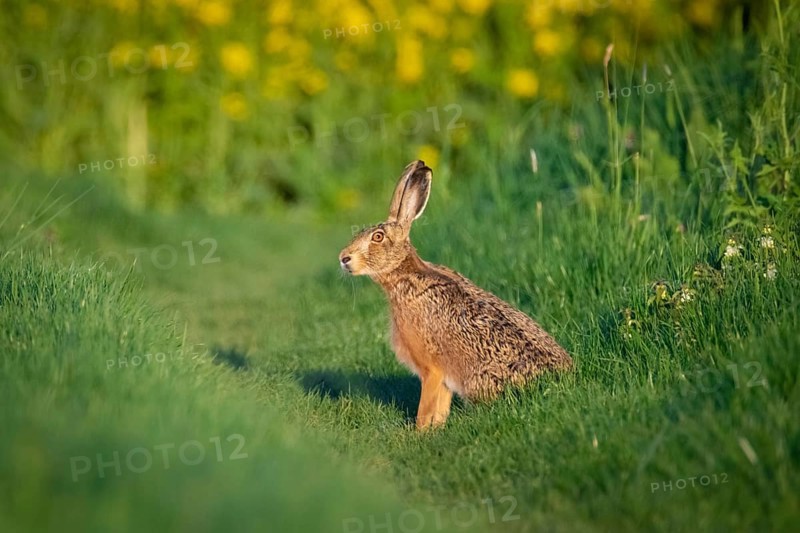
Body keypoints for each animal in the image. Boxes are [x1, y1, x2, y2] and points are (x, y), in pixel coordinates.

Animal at [338, 160, 573, 429]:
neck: (402, 274)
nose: (343, 258)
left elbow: (428, 406)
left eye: (377, 237)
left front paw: (420, 432)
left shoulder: (432, 368)